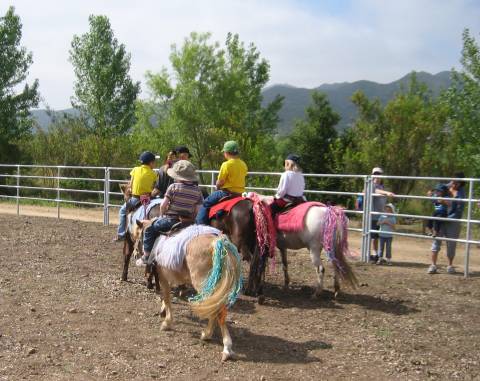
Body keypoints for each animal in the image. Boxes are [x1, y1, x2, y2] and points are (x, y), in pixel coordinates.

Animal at [155, 230, 244, 360]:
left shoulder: (163, 277)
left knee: (217, 311)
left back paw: (223, 346)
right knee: (215, 308)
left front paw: (166, 323)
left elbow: (166, 297)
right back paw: (209, 335)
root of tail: (217, 243)